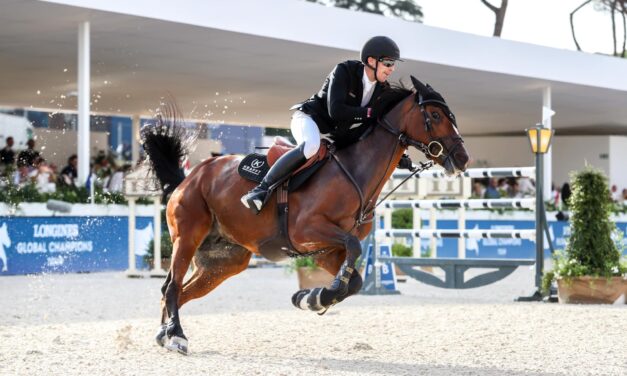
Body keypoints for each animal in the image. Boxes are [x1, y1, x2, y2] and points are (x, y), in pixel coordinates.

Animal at [141, 75, 466, 354]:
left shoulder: (325, 249)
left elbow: (354, 280)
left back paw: (165, 335)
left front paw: (312, 299)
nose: (462, 159)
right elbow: (354, 249)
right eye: (435, 115)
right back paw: (177, 336)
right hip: (187, 238)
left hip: (223, 263)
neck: (355, 173)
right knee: (172, 286)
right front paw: (316, 297)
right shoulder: (307, 232)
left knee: (178, 292)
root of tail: (188, 177)